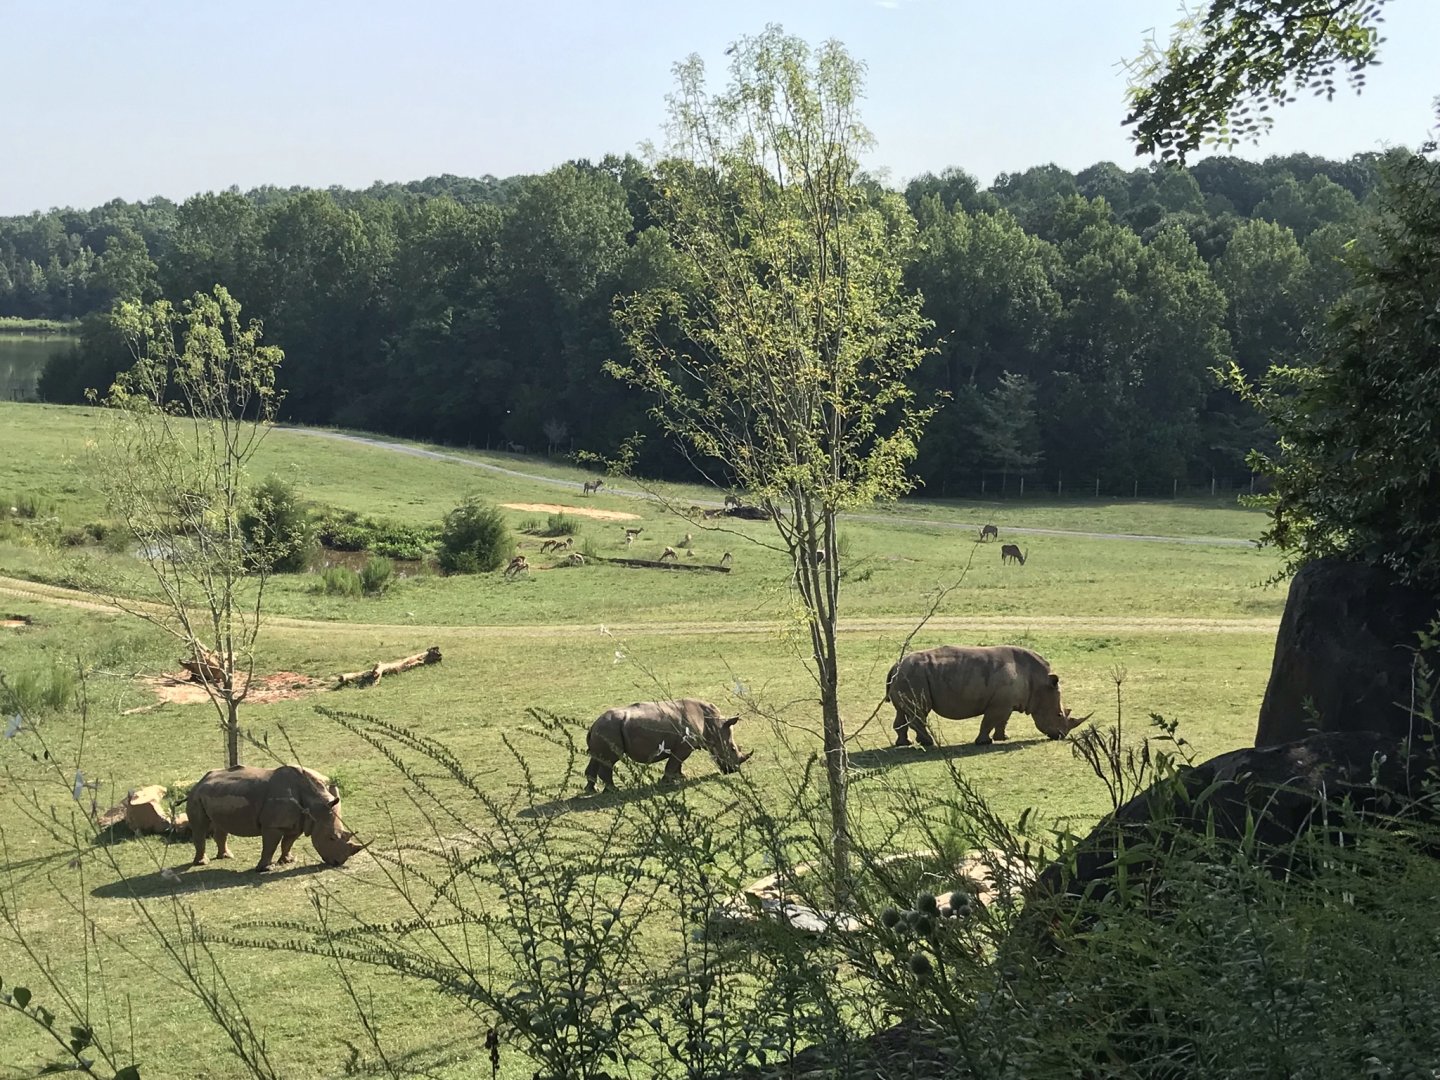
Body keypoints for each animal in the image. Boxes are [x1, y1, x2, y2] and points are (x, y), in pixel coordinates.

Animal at [186, 764, 365, 872]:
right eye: (331, 838)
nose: (338, 862)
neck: (316, 803)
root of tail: (200, 781)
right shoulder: (272, 825)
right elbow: (270, 846)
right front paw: (265, 869)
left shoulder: (298, 822)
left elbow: (288, 842)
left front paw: (288, 861)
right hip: (196, 796)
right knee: (200, 827)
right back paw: (202, 863)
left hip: (215, 792)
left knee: (220, 825)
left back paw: (226, 856)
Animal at [585, 699, 752, 792]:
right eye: (732, 749)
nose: (732, 770)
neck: (714, 725)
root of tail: (593, 725)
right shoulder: (685, 746)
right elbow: (674, 762)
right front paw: (667, 782)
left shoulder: (683, 745)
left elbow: (678, 763)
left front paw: (681, 777)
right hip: (609, 729)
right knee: (610, 760)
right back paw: (613, 790)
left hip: (604, 729)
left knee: (597, 757)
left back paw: (592, 790)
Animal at [886, 645, 1090, 748]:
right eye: (1058, 715)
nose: (1061, 736)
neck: (1040, 683)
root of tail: (896, 666)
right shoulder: (999, 704)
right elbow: (989, 721)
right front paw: (984, 742)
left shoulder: (1006, 703)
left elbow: (1002, 721)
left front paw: (1003, 738)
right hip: (914, 676)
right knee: (919, 711)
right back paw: (928, 743)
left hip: (908, 676)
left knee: (902, 711)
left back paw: (904, 743)